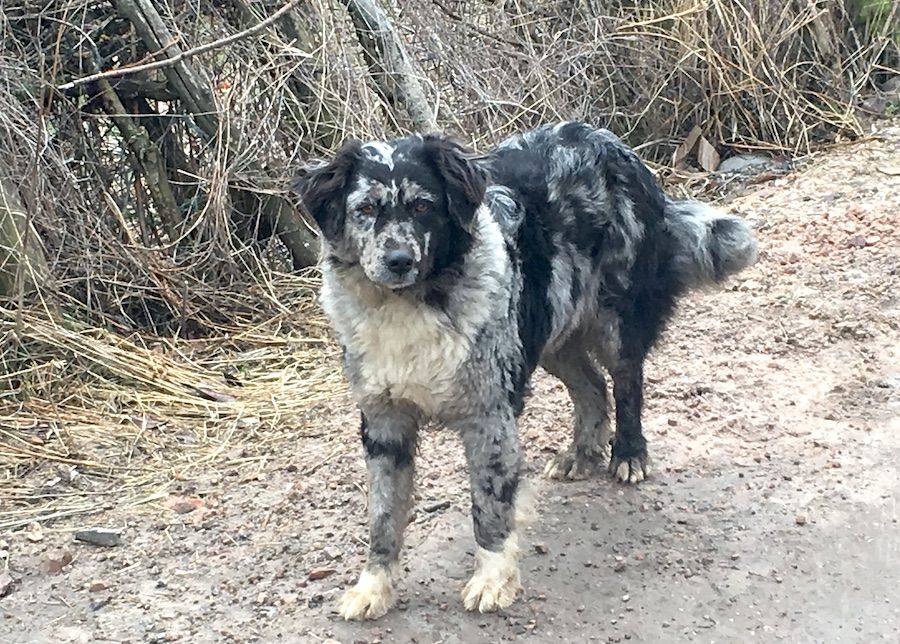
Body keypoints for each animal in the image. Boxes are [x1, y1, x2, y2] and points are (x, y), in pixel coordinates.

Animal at [296, 121, 760, 620]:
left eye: (423, 205)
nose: (398, 260)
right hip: (551, 327)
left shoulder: (489, 415)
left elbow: (489, 506)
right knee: (592, 387)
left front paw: (493, 579)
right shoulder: (384, 422)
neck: (413, 303)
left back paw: (628, 454)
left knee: (627, 382)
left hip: (615, 318)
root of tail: (608, 140)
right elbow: (383, 516)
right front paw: (374, 587)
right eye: (365, 209)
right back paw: (581, 453)